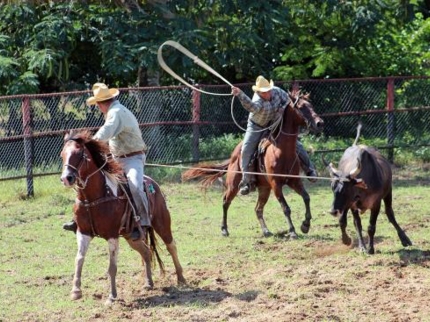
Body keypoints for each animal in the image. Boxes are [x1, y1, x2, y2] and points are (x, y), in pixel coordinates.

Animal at [60, 129, 185, 304]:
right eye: (62, 155)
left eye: (79, 154)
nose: (66, 178)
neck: (95, 197)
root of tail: (154, 184)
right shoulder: (83, 232)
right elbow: (79, 259)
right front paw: (76, 291)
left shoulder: (112, 235)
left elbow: (112, 267)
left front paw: (112, 296)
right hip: (131, 235)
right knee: (146, 252)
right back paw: (148, 283)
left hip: (162, 223)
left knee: (171, 246)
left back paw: (181, 278)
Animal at [181, 90, 322, 239]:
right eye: (301, 107)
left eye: (311, 105)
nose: (319, 123)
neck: (281, 151)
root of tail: (233, 155)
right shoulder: (276, 184)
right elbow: (286, 208)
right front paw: (292, 231)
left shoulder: (294, 181)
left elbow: (306, 197)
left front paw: (305, 225)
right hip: (233, 185)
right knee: (226, 201)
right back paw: (224, 229)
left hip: (264, 188)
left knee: (258, 208)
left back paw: (266, 231)